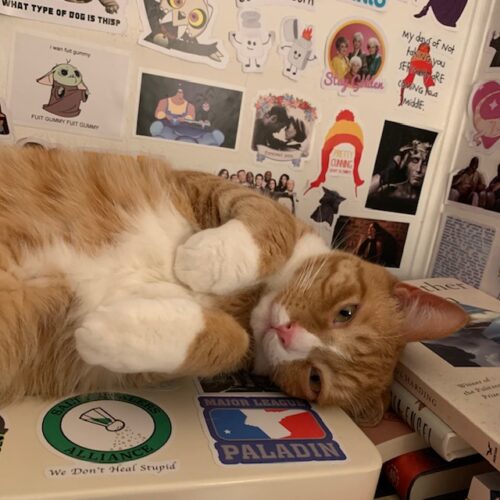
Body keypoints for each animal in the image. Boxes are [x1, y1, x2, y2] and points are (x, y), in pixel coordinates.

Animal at [0, 146, 468, 424]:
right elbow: (270, 226)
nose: (287, 332)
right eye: (346, 312)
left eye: (315, 379)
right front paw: (204, 259)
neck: (249, 301)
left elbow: (229, 341)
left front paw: (108, 330)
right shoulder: (211, 186)